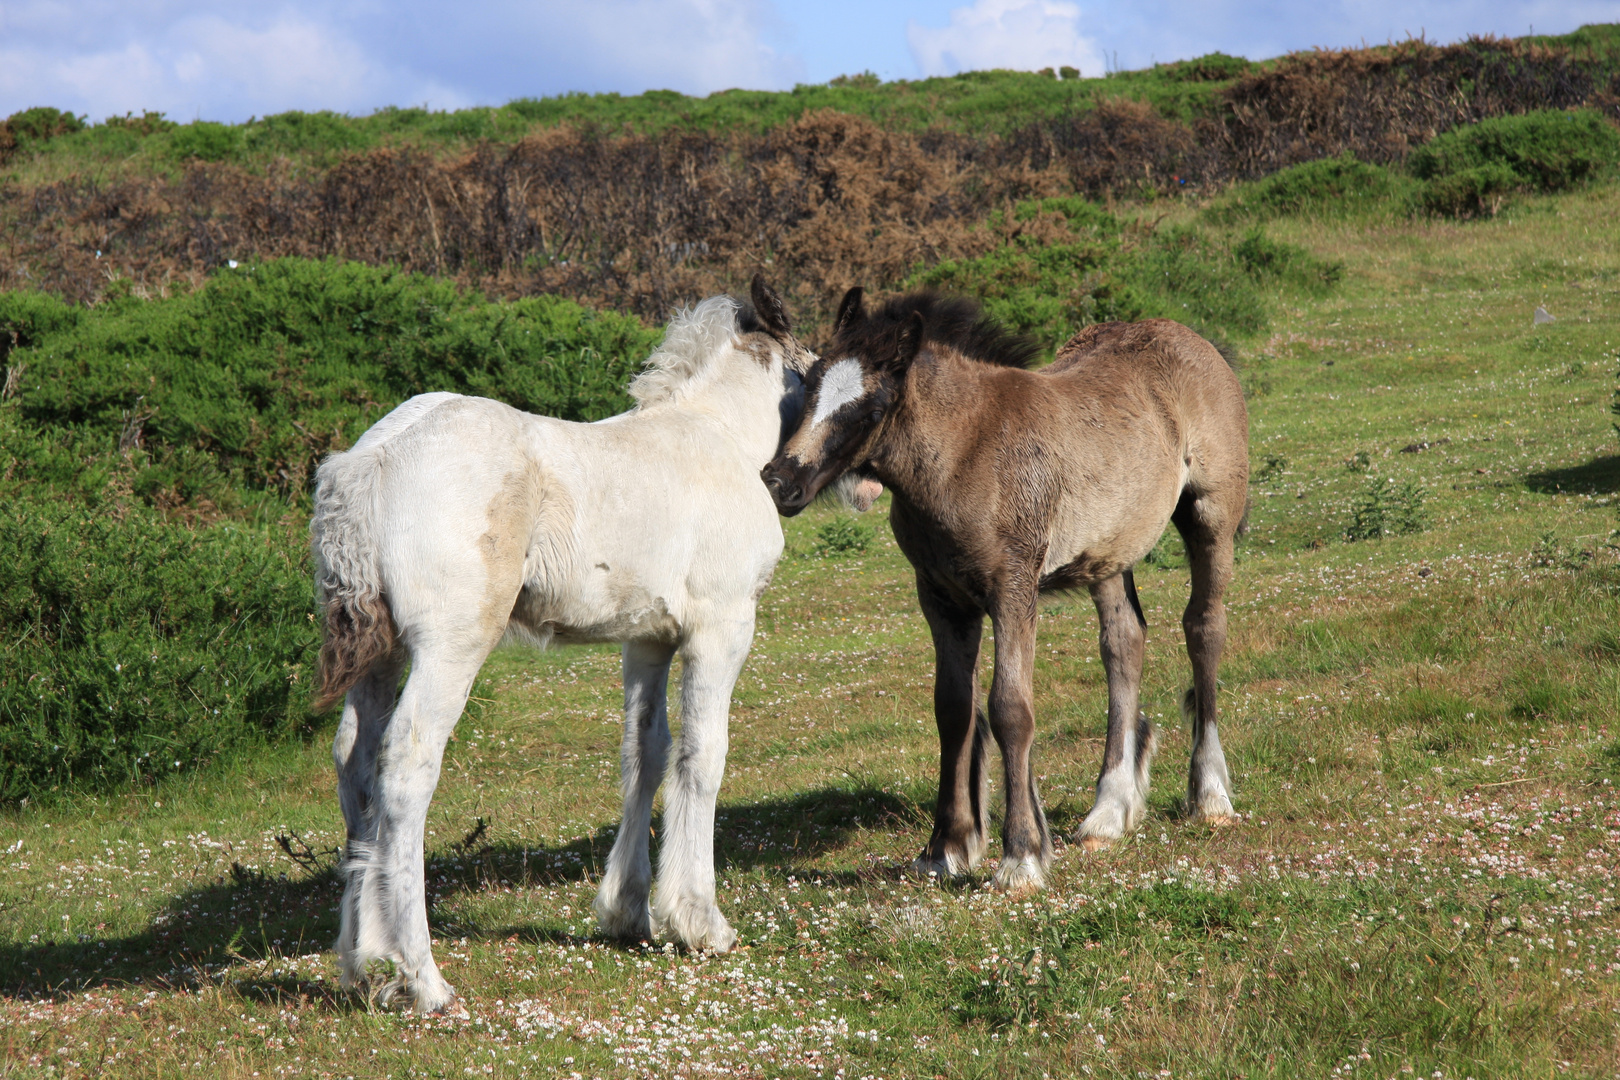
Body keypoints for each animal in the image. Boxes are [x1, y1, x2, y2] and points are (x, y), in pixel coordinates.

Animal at [306, 276, 810, 1016]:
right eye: (814, 374)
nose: (796, 485)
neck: (716, 435)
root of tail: (369, 461)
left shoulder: (648, 637)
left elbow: (645, 750)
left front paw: (630, 913)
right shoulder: (722, 625)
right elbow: (703, 754)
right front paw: (700, 921)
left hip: (383, 654)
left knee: (355, 761)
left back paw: (363, 963)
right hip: (451, 645)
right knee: (406, 763)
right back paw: (423, 977)